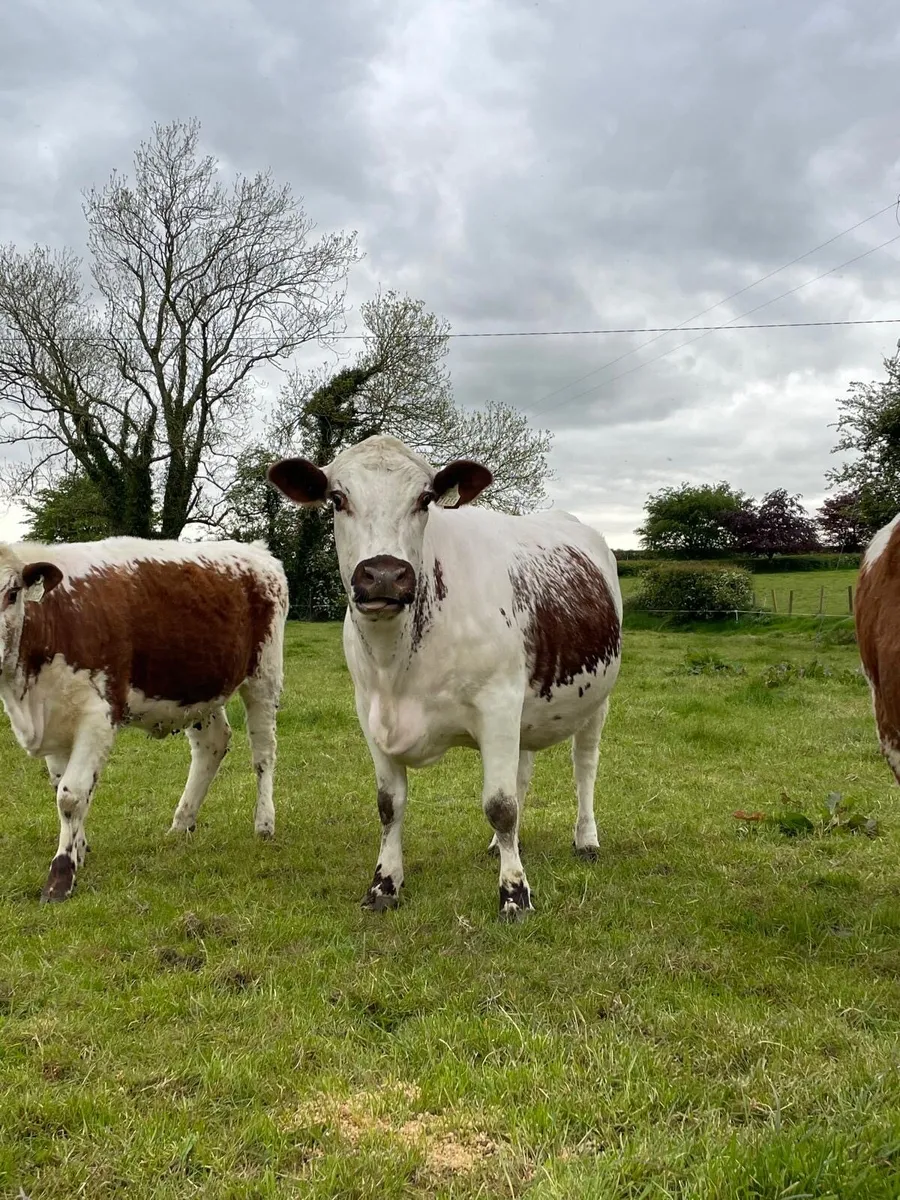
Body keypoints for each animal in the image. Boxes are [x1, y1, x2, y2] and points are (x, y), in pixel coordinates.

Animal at [0, 537, 288, 902]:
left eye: (12, 593)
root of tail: (257, 550)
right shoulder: (53, 716)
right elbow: (64, 785)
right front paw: (79, 850)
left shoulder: (98, 715)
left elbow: (71, 795)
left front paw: (61, 876)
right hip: (199, 688)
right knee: (212, 745)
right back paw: (182, 823)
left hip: (264, 676)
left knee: (263, 753)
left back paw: (264, 823)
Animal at [268, 434, 622, 920]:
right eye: (337, 499)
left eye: (425, 499)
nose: (383, 574)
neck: (396, 665)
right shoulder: (369, 713)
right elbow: (389, 805)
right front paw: (384, 885)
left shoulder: (496, 704)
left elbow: (500, 804)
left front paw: (514, 895)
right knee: (523, 771)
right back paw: (499, 846)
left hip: (595, 701)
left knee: (584, 767)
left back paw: (586, 840)